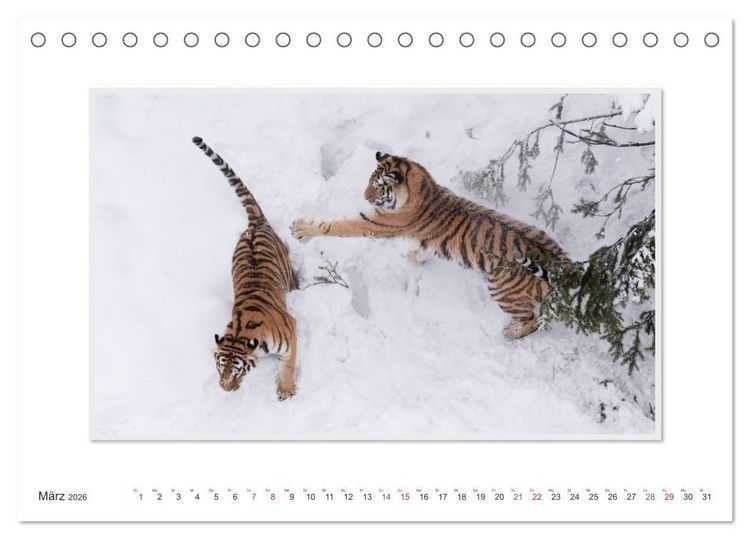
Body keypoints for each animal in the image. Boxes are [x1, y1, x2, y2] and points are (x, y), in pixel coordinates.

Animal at [193, 136, 299, 400]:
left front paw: (286, 390)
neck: (242, 333)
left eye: (238, 370)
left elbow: (288, 365)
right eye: (220, 368)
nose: (225, 388)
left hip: (290, 276)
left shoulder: (291, 330)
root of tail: (255, 225)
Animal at [291, 151, 570, 340]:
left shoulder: (377, 222)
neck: (420, 182)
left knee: (534, 320)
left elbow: (338, 225)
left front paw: (302, 230)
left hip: (503, 292)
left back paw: (512, 333)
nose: (365, 197)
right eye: (370, 181)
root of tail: (562, 264)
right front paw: (415, 258)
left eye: (378, 186)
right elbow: (425, 249)